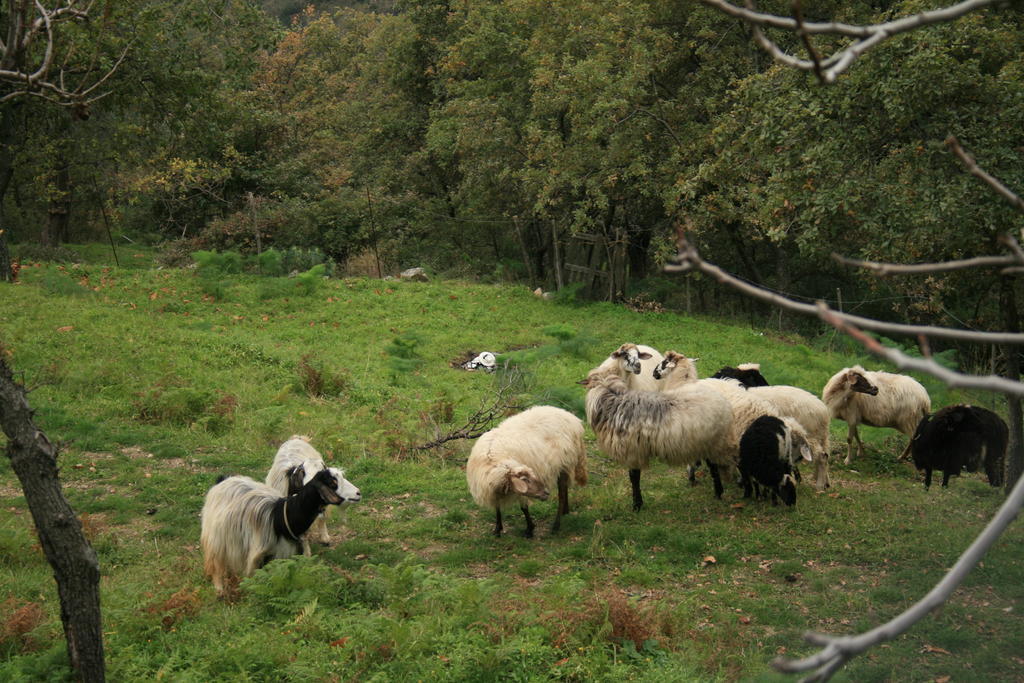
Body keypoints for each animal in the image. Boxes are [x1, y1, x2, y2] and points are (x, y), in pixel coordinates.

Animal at [201, 471, 358, 598]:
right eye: (333, 483)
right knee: (216, 564)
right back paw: (220, 590)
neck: (284, 516)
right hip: (216, 538)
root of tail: (223, 480)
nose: (358, 493)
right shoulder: (259, 555)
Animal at [464, 405, 585, 540]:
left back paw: (556, 525)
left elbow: (524, 508)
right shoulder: (494, 489)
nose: (546, 492)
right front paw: (497, 528)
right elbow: (497, 507)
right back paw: (565, 511)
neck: (493, 459)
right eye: (525, 480)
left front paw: (530, 529)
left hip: (564, 464)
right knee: (564, 489)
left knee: (562, 494)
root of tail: (573, 419)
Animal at [585, 362, 737, 507]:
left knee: (716, 466)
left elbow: (634, 477)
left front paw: (637, 504)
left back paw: (720, 492)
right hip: (705, 442)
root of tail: (723, 401)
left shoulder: (633, 451)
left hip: (714, 441)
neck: (612, 399)